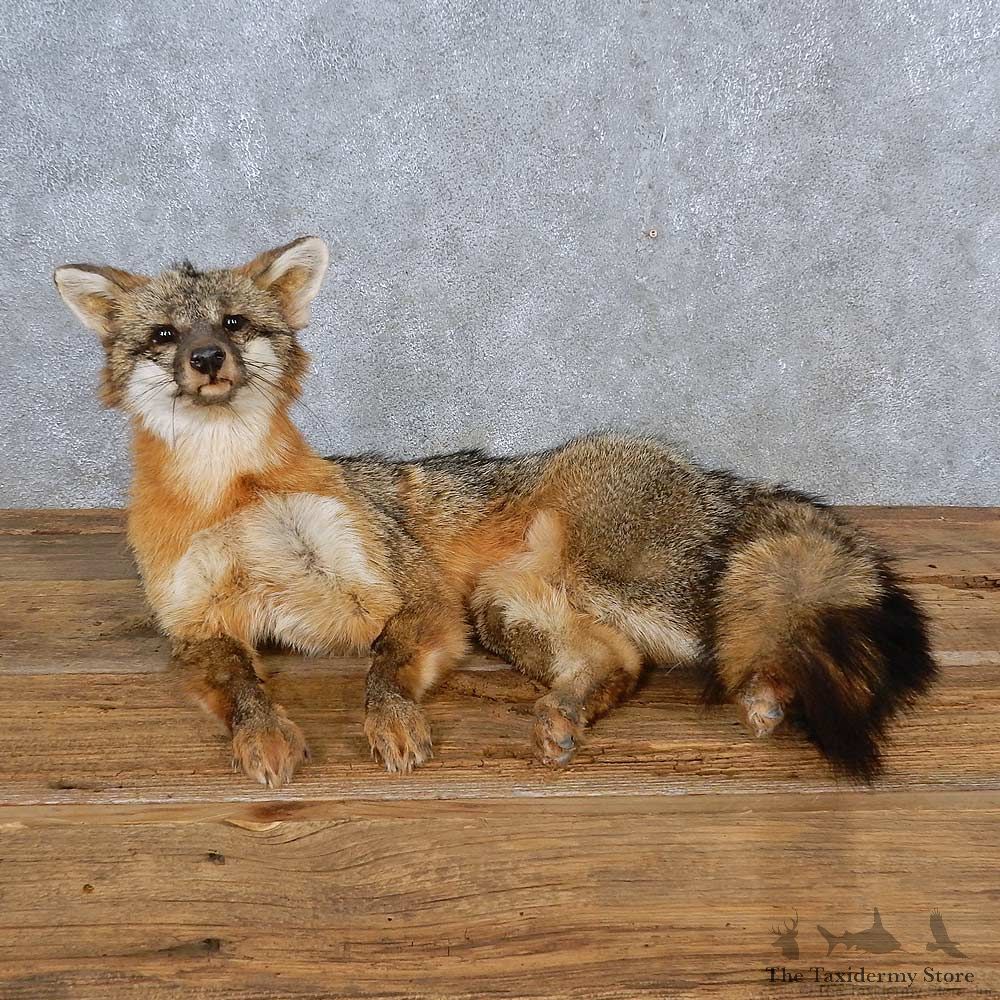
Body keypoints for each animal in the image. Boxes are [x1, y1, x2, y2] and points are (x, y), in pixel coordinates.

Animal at [53, 236, 937, 787]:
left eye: (233, 324)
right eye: (164, 336)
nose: (207, 359)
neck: (232, 491)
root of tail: (698, 469)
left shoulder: (406, 592)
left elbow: (382, 669)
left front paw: (393, 722)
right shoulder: (198, 625)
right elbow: (241, 687)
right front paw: (263, 733)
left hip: (626, 593)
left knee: (748, 635)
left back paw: (766, 691)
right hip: (507, 608)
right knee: (622, 665)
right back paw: (565, 717)